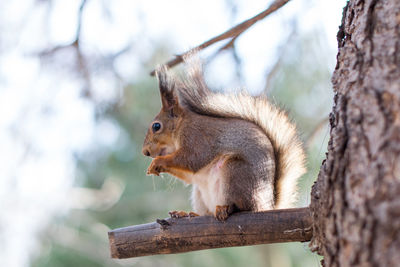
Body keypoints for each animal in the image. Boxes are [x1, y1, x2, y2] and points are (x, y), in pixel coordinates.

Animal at [142, 61, 304, 222]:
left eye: (156, 126)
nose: (145, 152)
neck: (181, 126)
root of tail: (266, 204)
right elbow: (189, 175)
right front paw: (154, 167)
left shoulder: (198, 137)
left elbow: (192, 159)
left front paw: (157, 162)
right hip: (200, 194)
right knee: (206, 212)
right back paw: (188, 214)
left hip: (235, 172)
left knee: (244, 206)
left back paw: (227, 209)